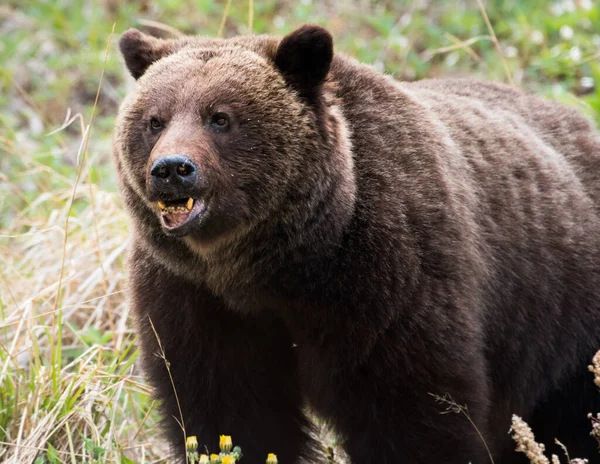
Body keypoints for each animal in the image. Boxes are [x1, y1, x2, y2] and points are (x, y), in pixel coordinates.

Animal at [113, 25, 600, 464]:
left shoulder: (389, 280)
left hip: (564, 316)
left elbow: (413, 412)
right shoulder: (195, 298)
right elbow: (229, 411)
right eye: (154, 120)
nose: (173, 168)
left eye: (221, 117)